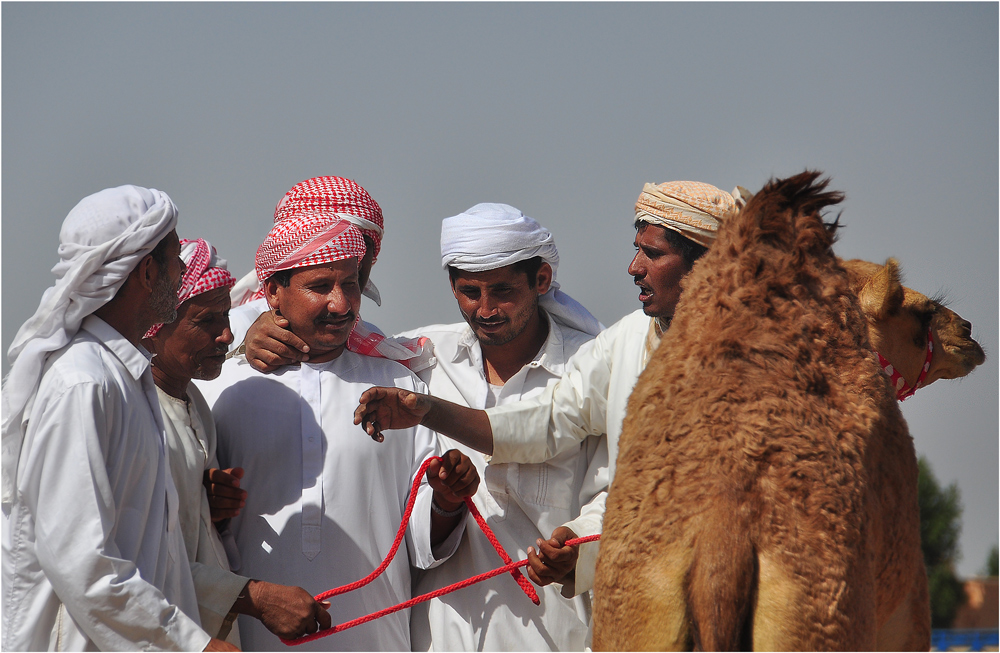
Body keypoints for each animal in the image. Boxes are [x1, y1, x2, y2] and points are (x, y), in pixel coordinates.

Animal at [588, 171, 980, 648]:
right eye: (920, 312)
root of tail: (721, 543)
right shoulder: (906, 617)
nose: (967, 333)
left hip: (636, 611)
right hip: (820, 616)